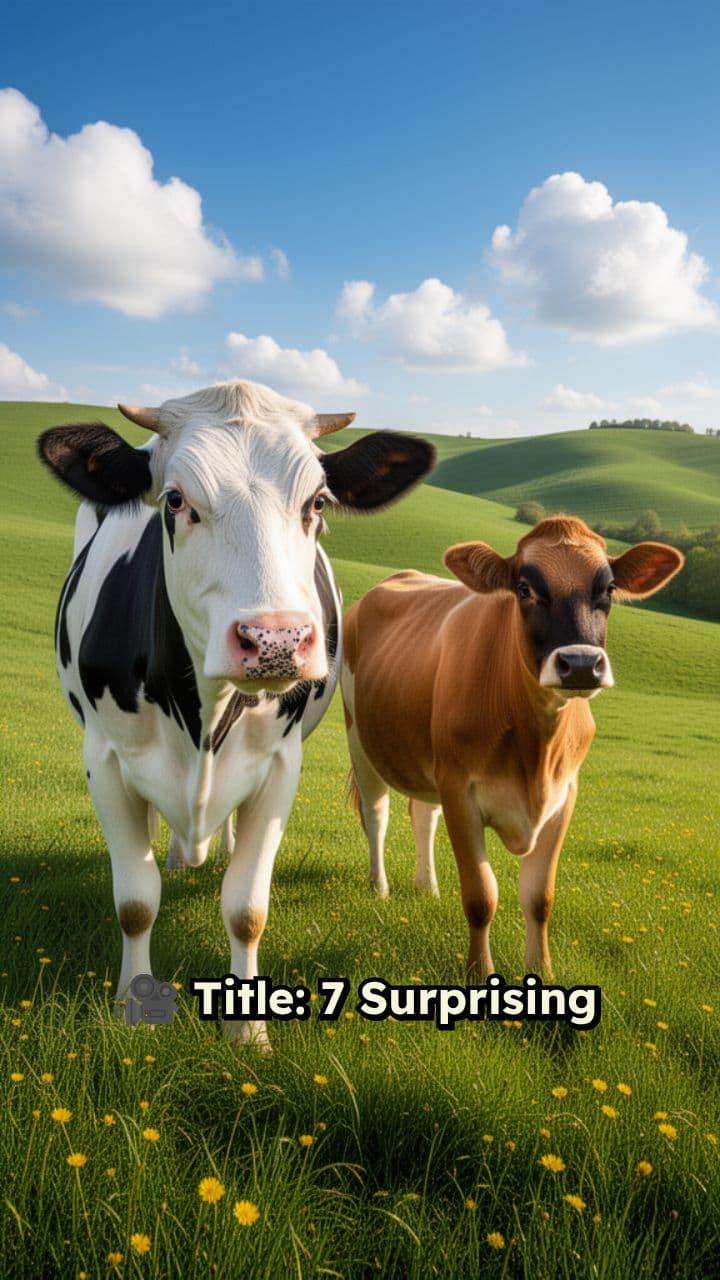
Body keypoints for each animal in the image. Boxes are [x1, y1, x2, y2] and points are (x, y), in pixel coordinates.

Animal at [38, 379, 435, 1044]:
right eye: (174, 500)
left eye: (318, 502)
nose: (274, 640)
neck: (199, 711)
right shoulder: (106, 758)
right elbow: (135, 901)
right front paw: (134, 1009)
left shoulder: (279, 765)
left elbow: (246, 908)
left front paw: (248, 1033)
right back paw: (178, 856)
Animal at [341, 515, 683, 979]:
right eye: (524, 589)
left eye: (609, 589)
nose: (579, 664)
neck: (535, 748)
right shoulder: (460, 791)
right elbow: (481, 896)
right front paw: (479, 973)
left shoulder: (564, 795)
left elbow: (539, 899)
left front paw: (544, 973)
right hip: (359, 736)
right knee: (377, 814)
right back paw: (380, 888)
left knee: (423, 815)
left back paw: (428, 888)